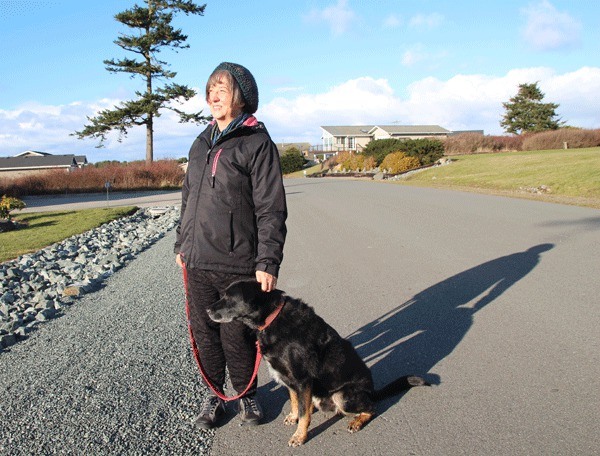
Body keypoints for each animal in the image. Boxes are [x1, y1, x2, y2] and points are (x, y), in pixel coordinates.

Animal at [209, 280, 428, 448]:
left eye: (229, 298)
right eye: (223, 295)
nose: (207, 309)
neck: (272, 318)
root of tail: (372, 391)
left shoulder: (302, 379)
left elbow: (304, 415)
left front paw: (299, 436)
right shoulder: (290, 380)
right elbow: (296, 402)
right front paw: (294, 416)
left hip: (342, 395)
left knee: (371, 408)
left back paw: (357, 422)